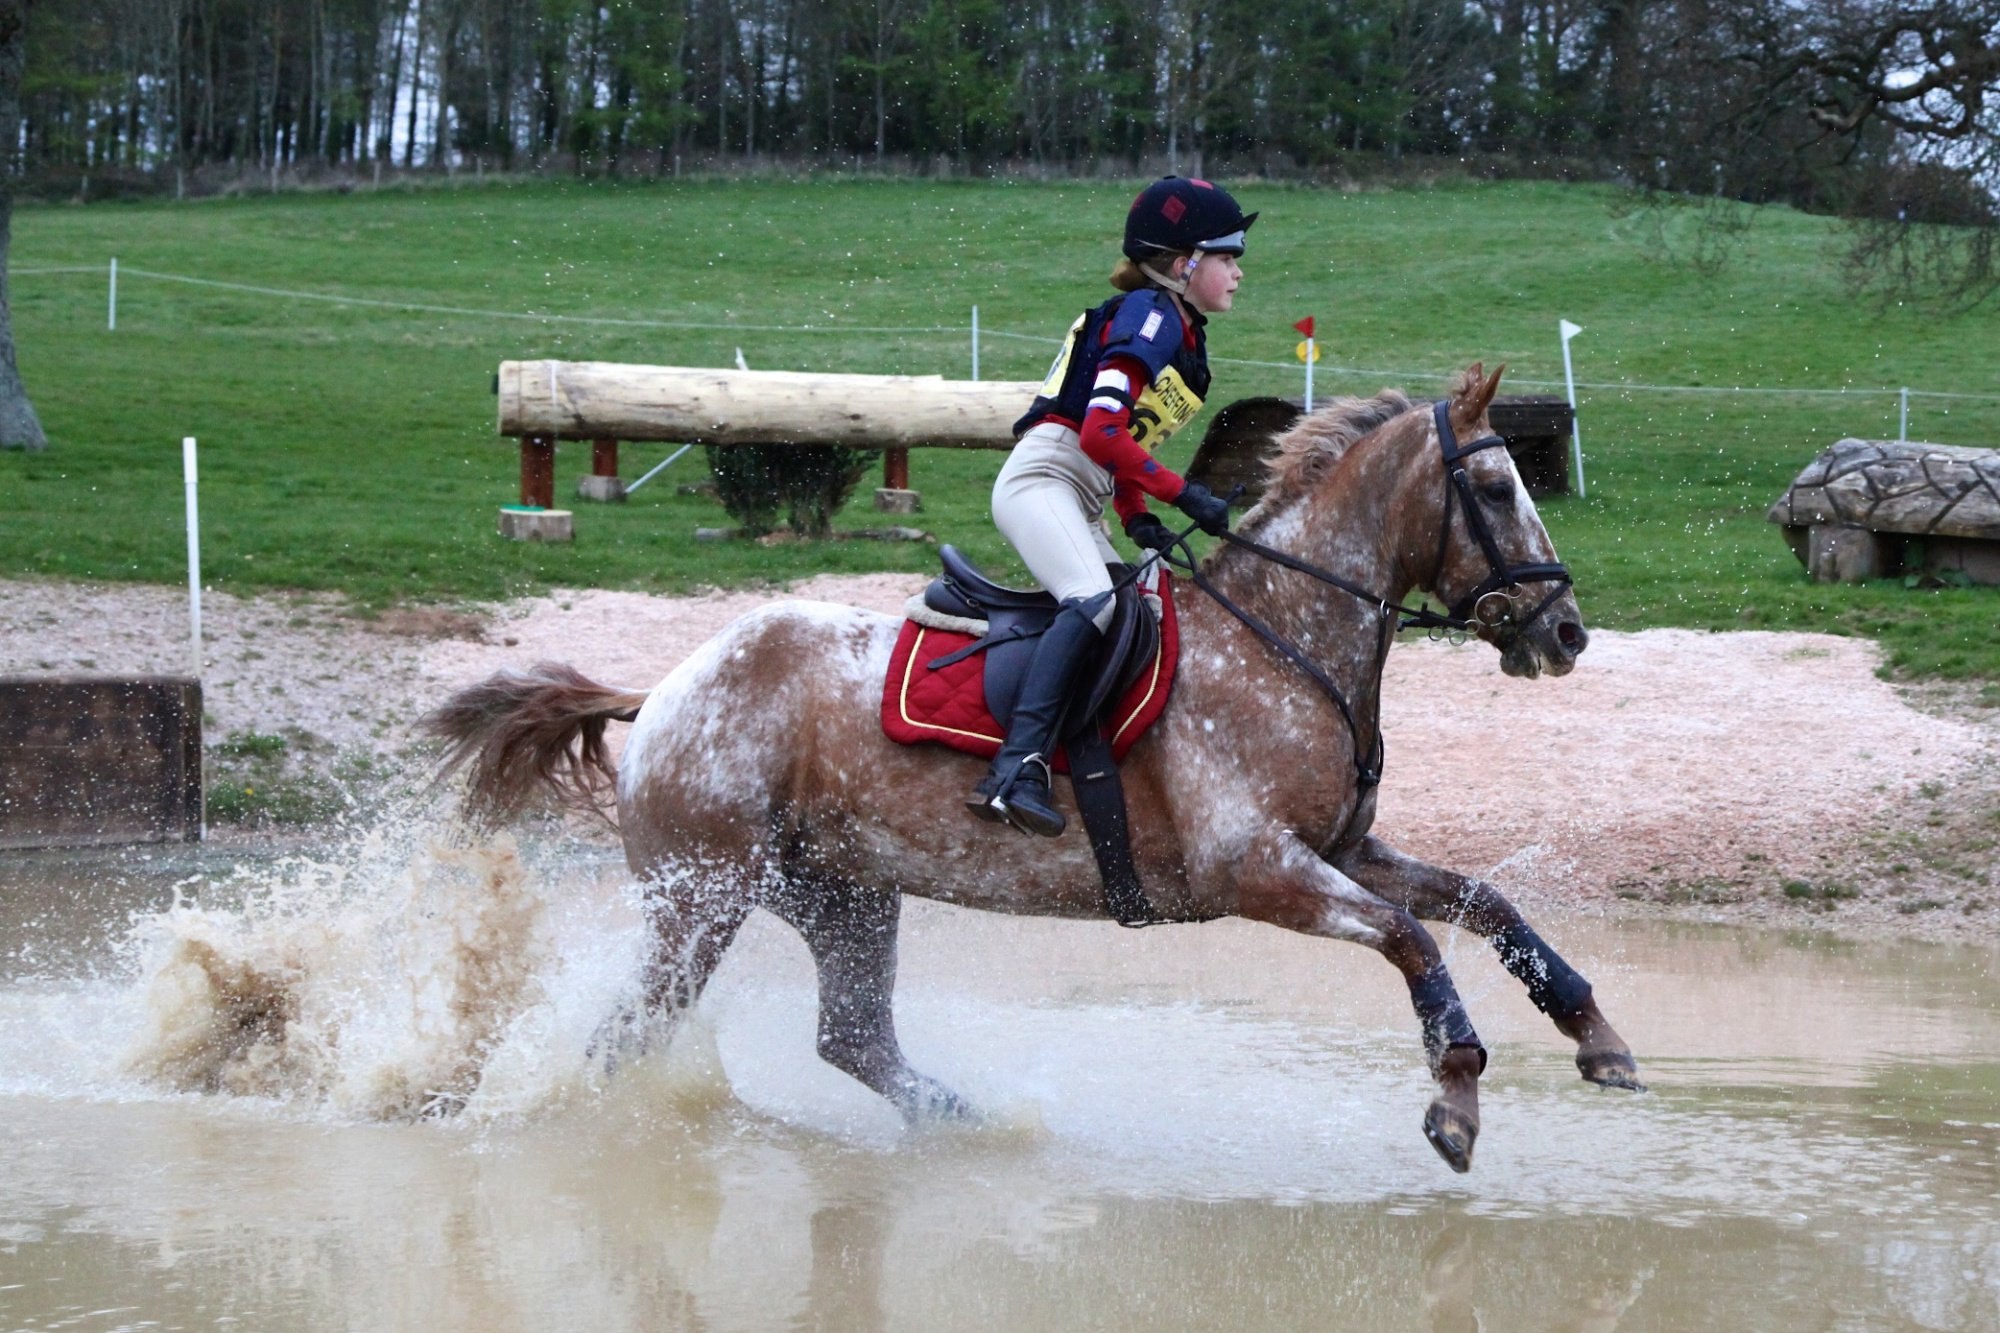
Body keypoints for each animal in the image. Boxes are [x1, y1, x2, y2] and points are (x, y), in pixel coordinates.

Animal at [434, 366, 1640, 1176]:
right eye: (1497, 486)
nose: (1568, 632)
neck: (1285, 635)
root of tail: (667, 689)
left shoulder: (1341, 848)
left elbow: (1484, 901)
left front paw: (1598, 1036)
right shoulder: (1256, 868)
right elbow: (1410, 938)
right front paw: (1455, 1099)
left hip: (840, 894)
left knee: (852, 1036)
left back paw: (969, 1128)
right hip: (703, 896)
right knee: (629, 1037)